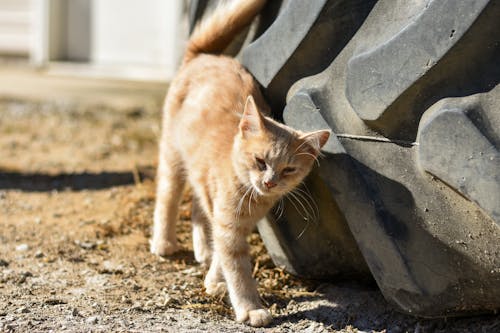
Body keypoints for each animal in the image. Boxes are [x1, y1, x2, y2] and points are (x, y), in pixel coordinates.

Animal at [150, 0, 330, 326]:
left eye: (288, 169)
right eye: (260, 161)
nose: (269, 181)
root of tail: (205, 56)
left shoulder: (233, 224)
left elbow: (222, 252)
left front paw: (213, 279)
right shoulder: (229, 226)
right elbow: (238, 269)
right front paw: (249, 306)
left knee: (199, 207)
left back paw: (203, 249)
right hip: (173, 154)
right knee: (168, 197)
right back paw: (164, 242)